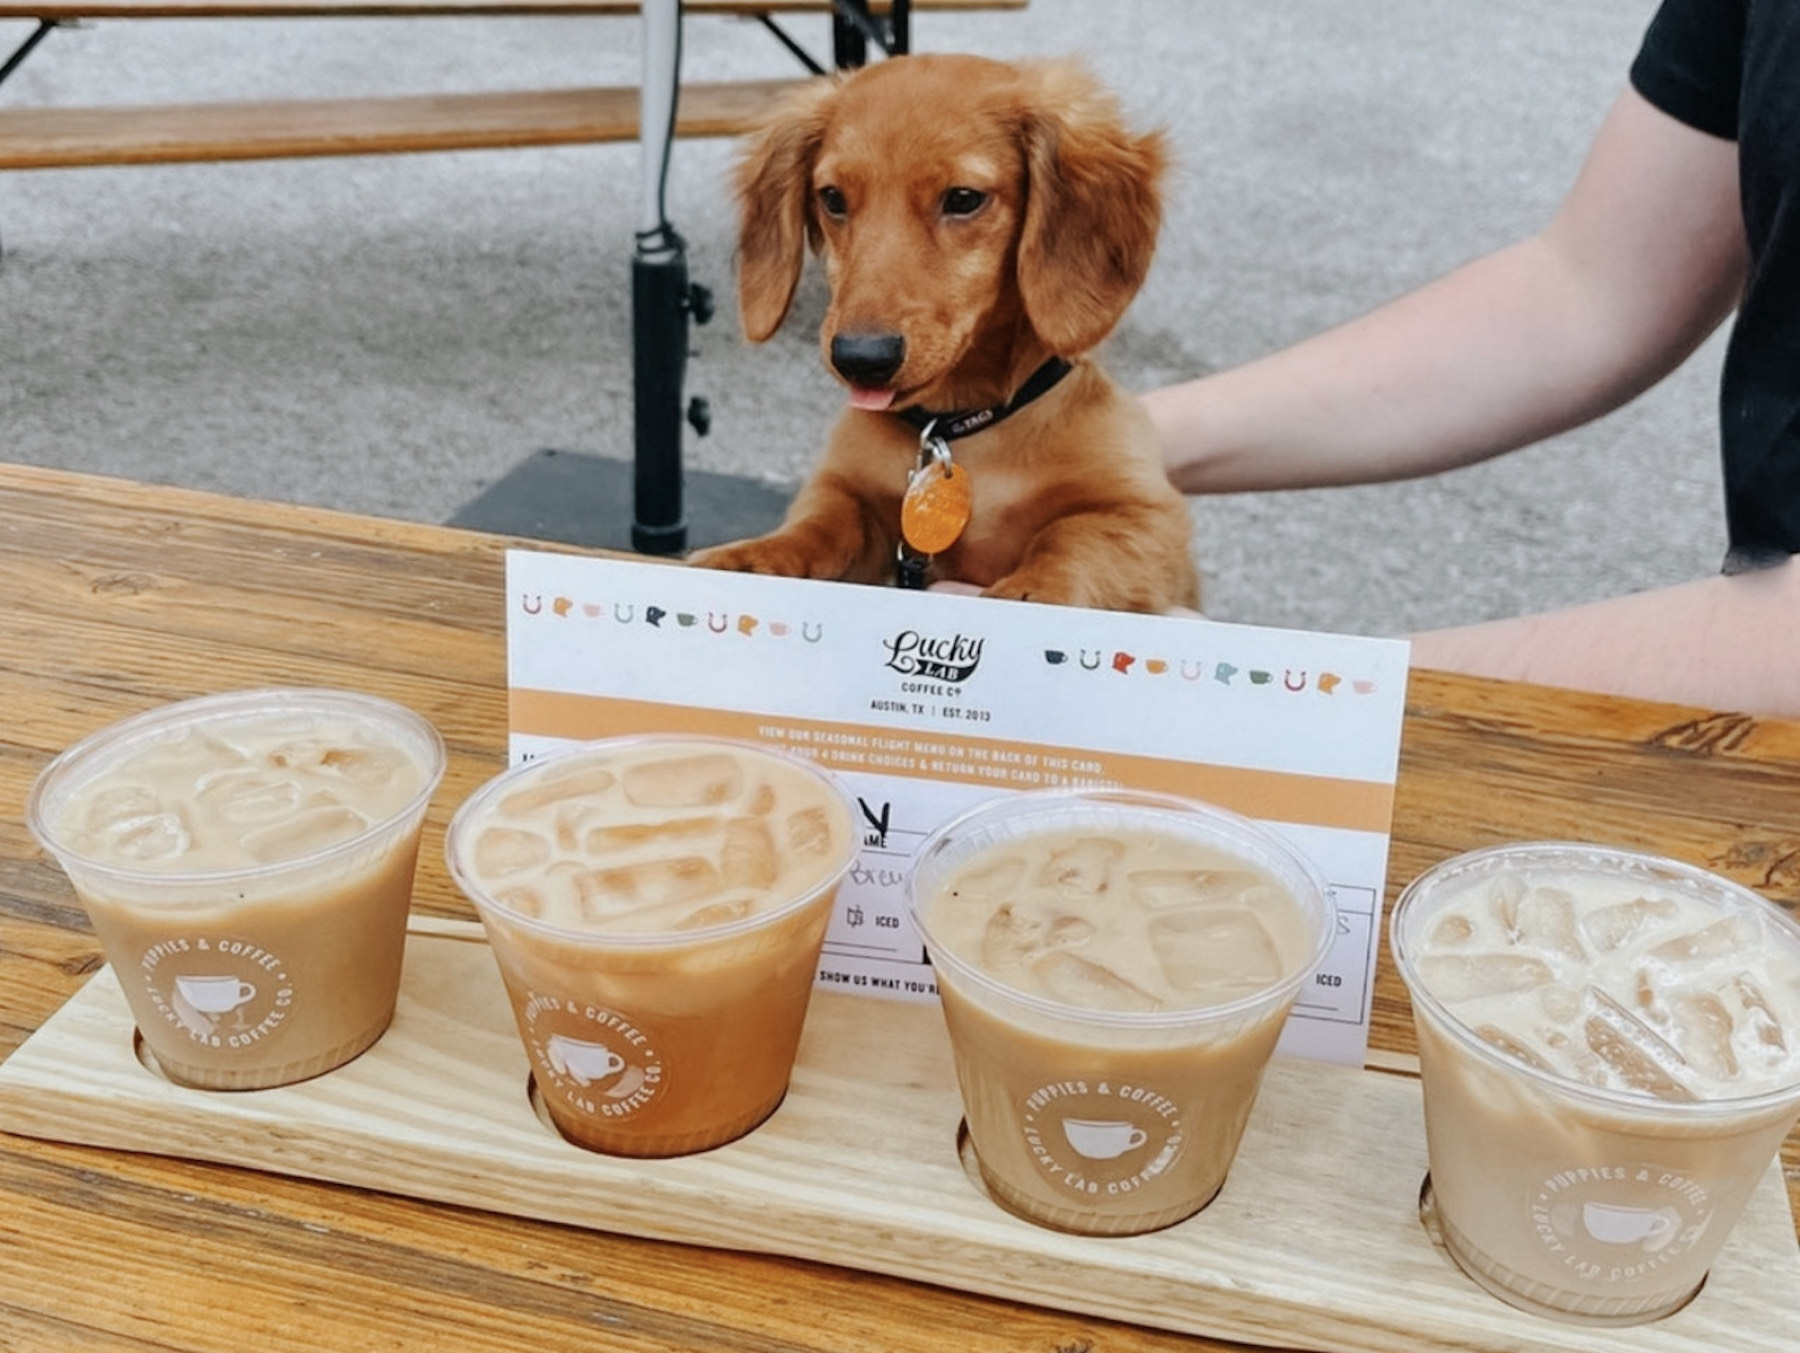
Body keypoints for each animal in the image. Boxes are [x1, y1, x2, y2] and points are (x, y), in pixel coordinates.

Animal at [687, 52, 1195, 611]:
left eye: (964, 198)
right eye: (832, 198)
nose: (861, 358)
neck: (958, 429)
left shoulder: (1146, 516)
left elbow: (1074, 539)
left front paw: (1031, 593)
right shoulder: (850, 497)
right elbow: (820, 526)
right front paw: (751, 558)